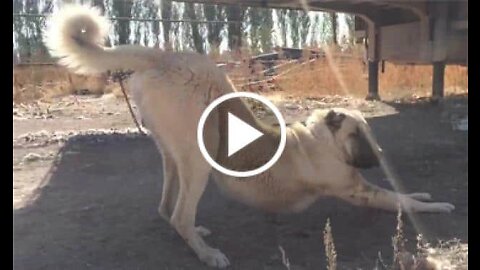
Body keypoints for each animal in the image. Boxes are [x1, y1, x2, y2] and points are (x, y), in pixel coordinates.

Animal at [47, 5, 456, 268]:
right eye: (359, 135)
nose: (381, 154)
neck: (320, 139)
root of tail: (164, 57)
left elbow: (404, 194)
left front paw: (422, 194)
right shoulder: (358, 191)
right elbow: (402, 201)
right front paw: (437, 206)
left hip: (173, 153)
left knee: (169, 209)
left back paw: (194, 232)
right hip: (199, 154)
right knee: (178, 213)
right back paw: (207, 253)